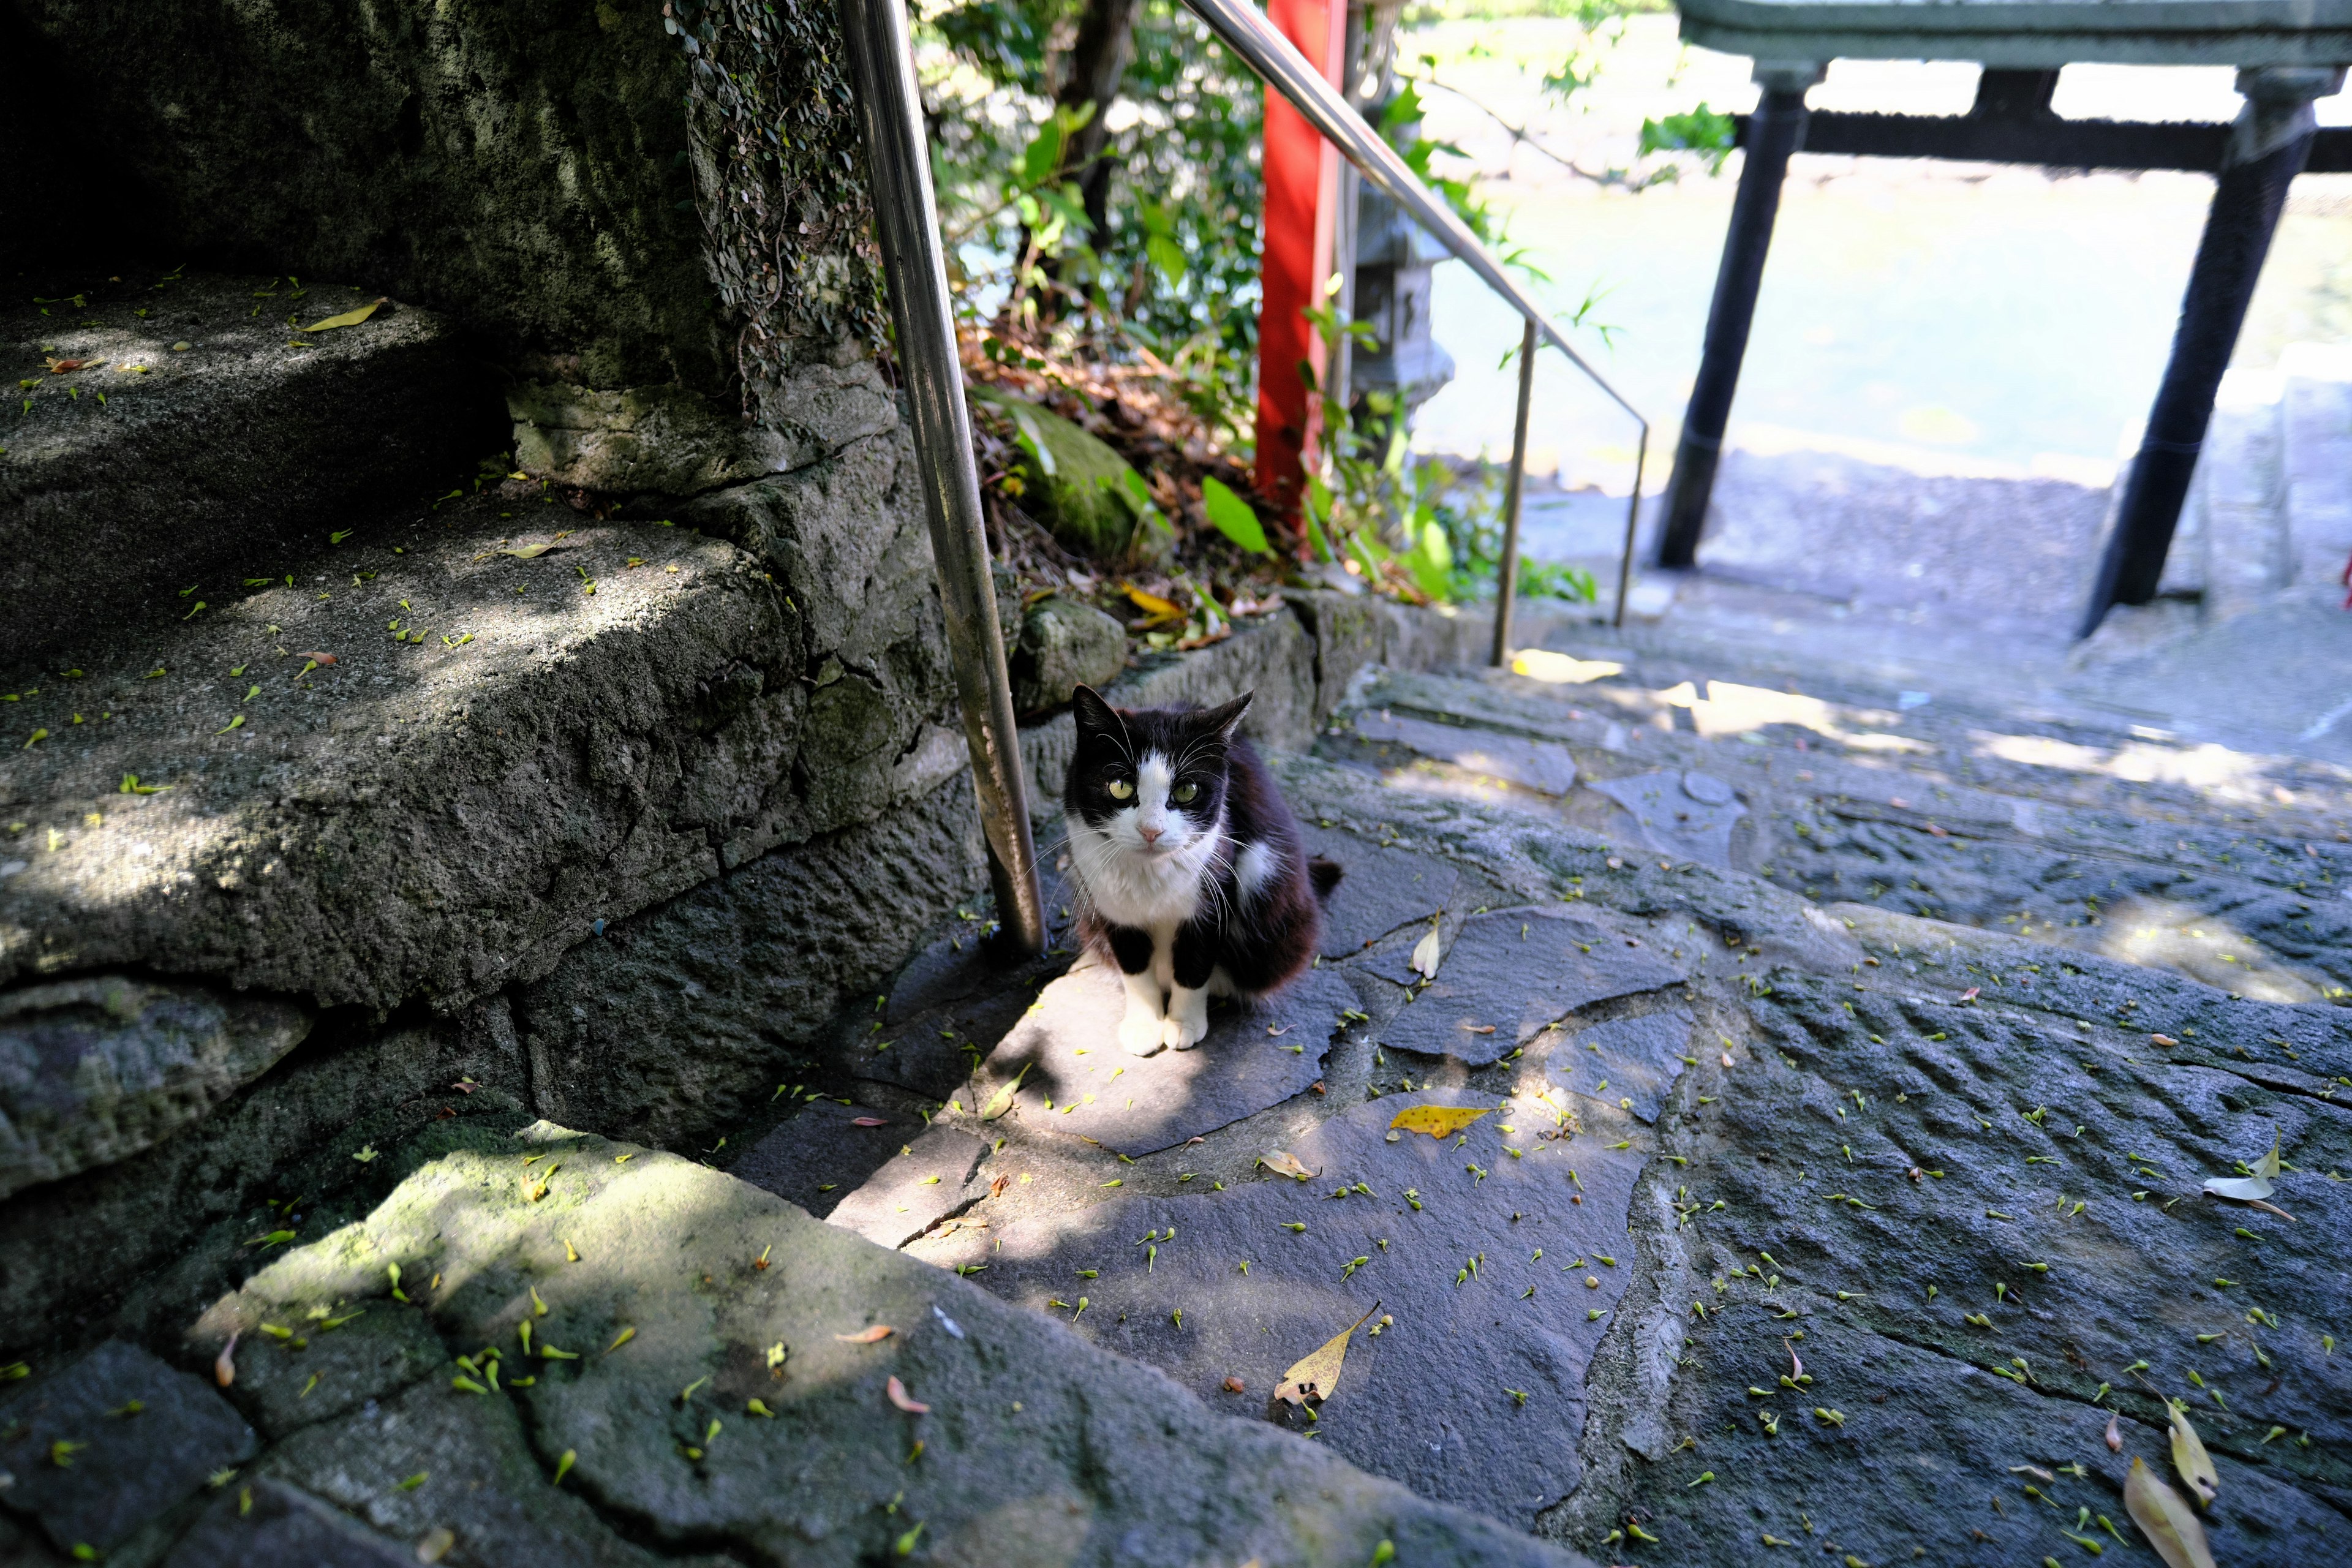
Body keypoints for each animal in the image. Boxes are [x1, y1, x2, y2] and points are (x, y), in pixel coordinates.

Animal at [1068, 682, 1345, 1053]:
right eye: (1120, 786)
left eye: (1187, 790)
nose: (1151, 830)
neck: (1150, 873)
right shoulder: (1109, 900)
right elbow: (1133, 966)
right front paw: (1144, 1025)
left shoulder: (1216, 887)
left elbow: (1195, 962)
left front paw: (1183, 1024)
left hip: (1263, 875)